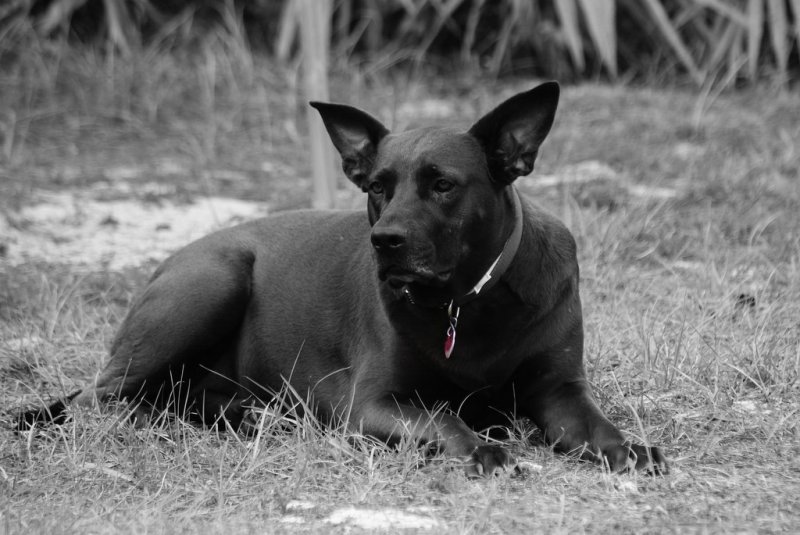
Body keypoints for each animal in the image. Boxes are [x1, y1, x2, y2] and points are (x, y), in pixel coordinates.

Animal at [18, 82, 668, 478]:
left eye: (443, 184)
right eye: (377, 186)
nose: (385, 241)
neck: (466, 304)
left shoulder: (559, 391)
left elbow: (596, 425)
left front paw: (629, 449)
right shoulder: (373, 402)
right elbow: (443, 418)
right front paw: (483, 448)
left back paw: (246, 416)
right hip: (212, 281)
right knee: (103, 400)